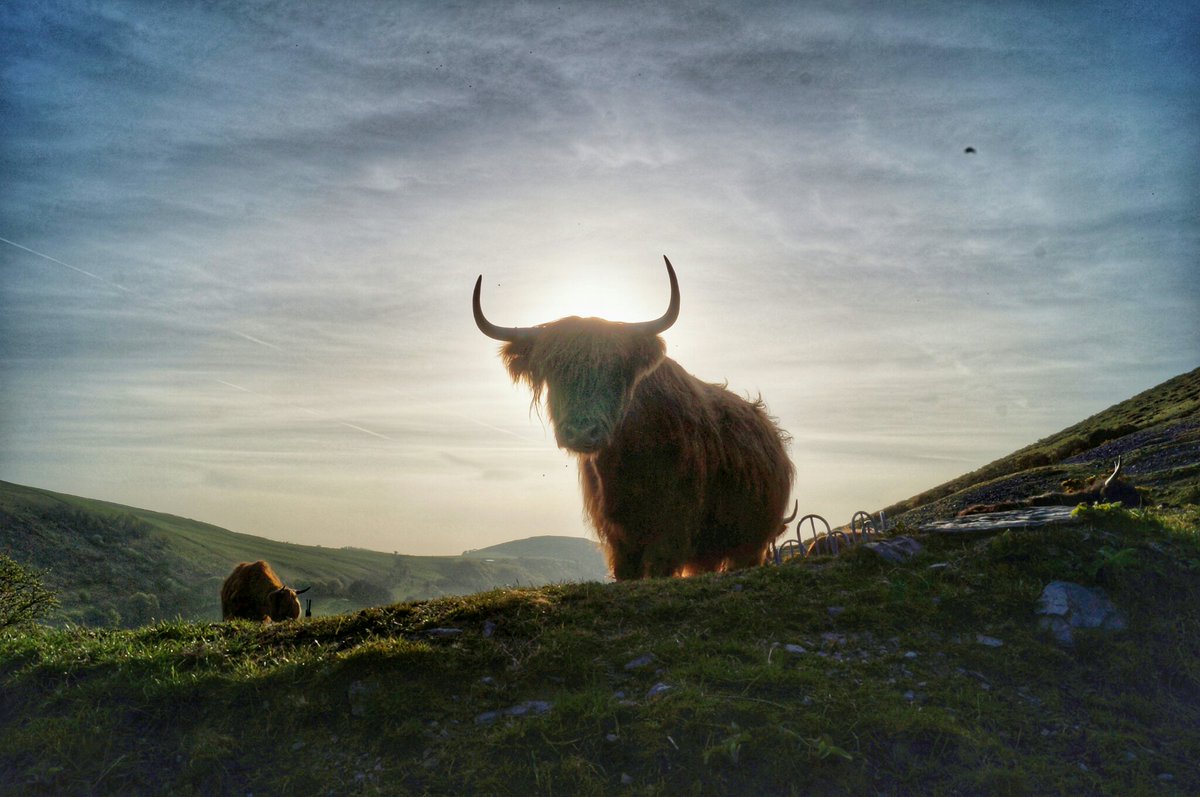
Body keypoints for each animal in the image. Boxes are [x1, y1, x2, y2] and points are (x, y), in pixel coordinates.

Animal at [473, 256, 794, 580]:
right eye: (554, 369)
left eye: (617, 371)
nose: (582, 432)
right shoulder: (618, 537)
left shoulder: (672, 529)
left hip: (751, 541)